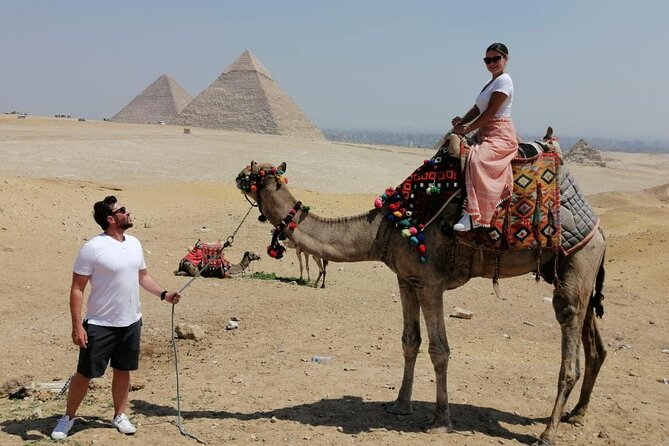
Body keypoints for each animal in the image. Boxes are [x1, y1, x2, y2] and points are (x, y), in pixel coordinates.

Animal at [235, 160, 607, 446]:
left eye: (256, 174)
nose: (238, 175)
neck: (383, 229)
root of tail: (599, 230)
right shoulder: (406, 279)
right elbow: (409, 342)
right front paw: (400, 405)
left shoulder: (430, 284)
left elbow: (439, 350)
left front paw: (440, 421)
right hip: (575, 271)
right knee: (596, 345)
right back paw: (577, 414)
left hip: (577, 263)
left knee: (569, 334)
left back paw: (547, 433)